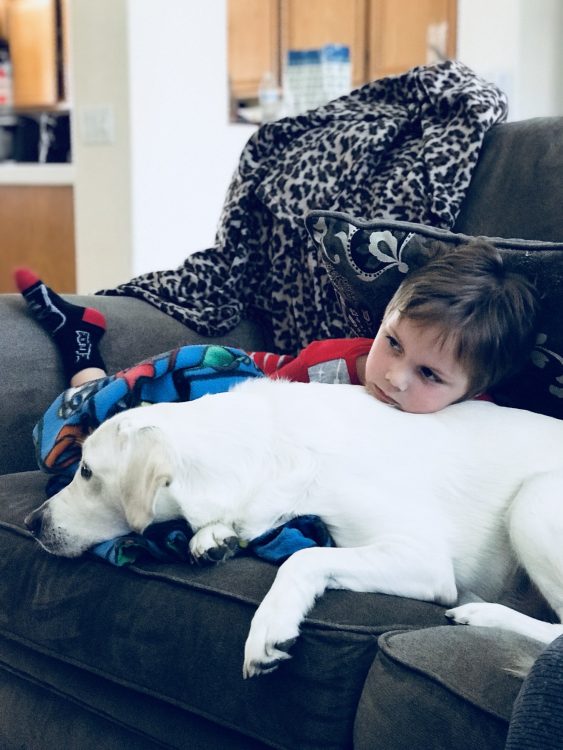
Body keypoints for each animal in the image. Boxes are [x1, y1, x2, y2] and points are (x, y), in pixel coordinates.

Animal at [24, 378, 563, 680]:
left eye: (86, 471)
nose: (31, 523)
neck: (265, 448)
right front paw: (212, 538)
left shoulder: (424, 558)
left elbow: (304, 557)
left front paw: (271, 625)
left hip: (533, 501)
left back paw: (484, 614)